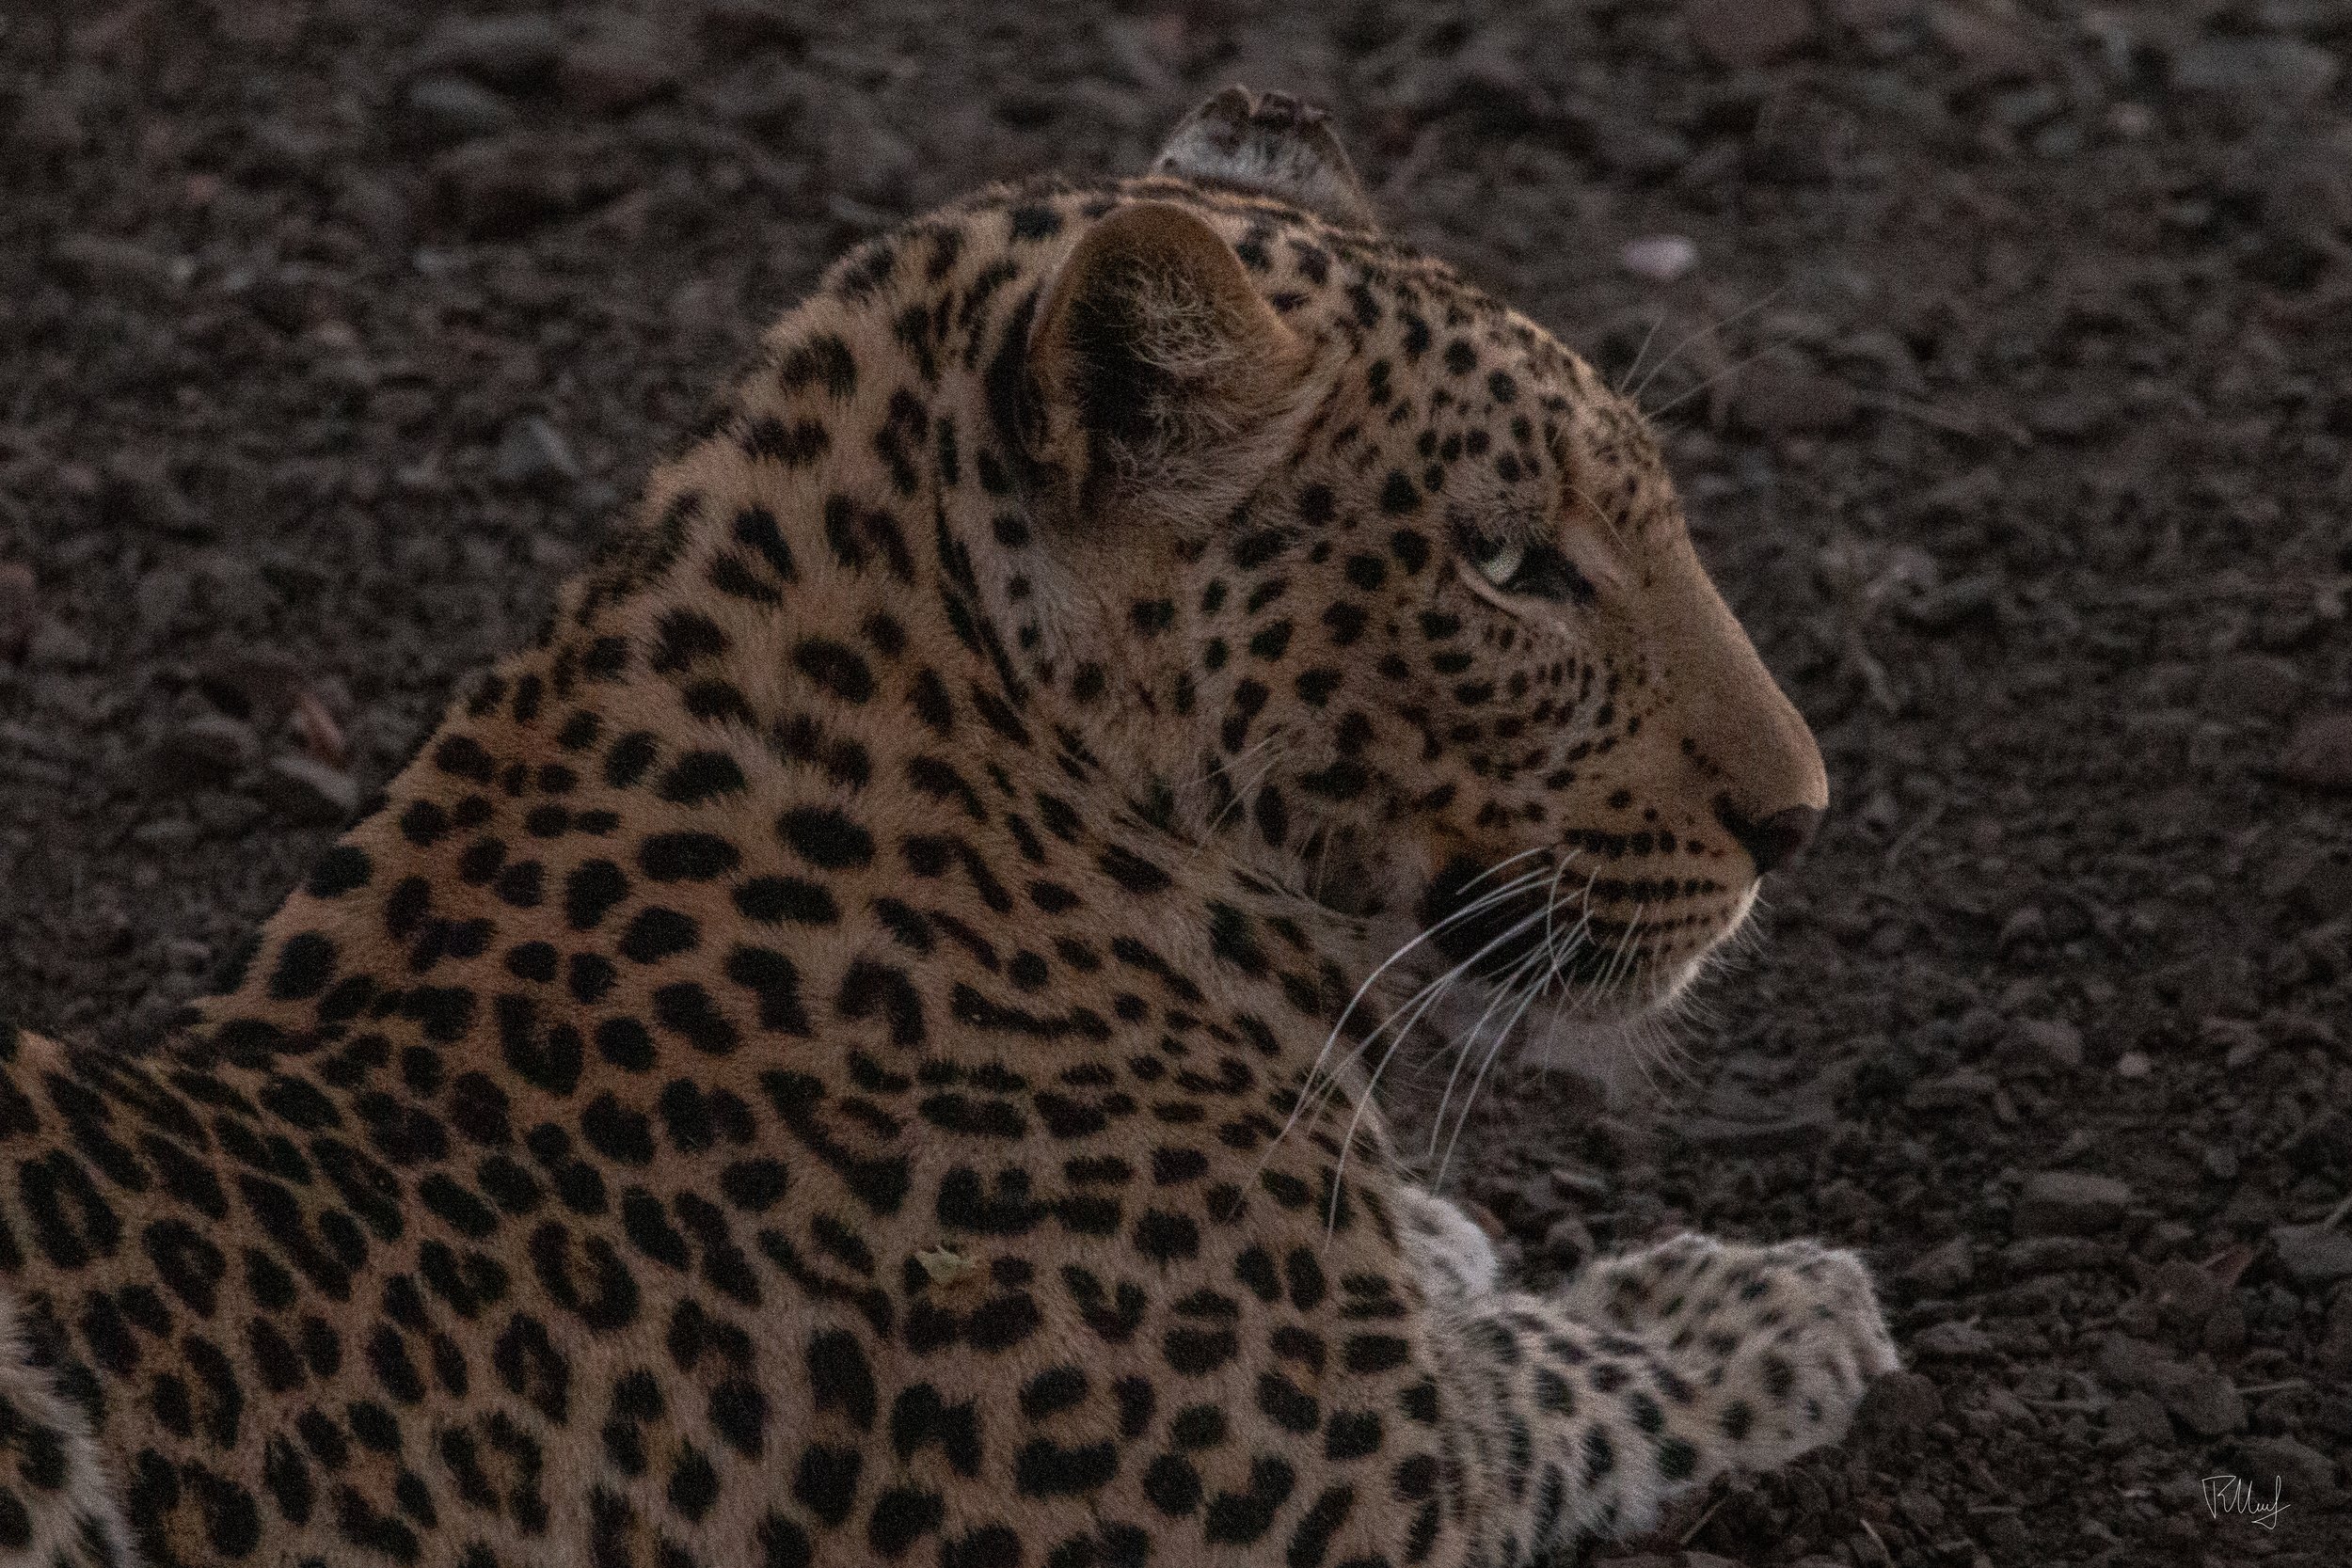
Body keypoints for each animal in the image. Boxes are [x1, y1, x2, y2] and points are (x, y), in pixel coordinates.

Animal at [0, 88, 1895, 1568]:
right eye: (1509, 563)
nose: (1797, 819)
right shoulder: (1350, 1494)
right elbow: (1549, 1392)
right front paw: (1763, 1306)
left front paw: (1453, 1244)